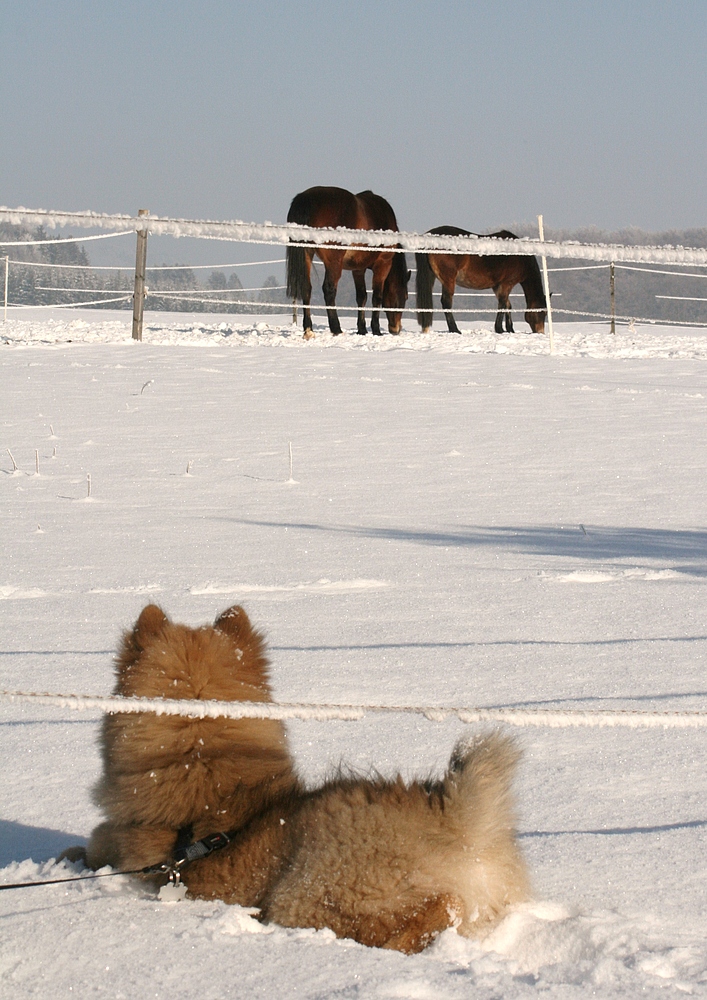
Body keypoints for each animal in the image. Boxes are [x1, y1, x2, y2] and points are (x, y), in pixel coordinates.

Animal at [77, 600, 532, 952]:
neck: (203, 759)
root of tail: (458, 823)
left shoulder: (132, 852)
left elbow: (97, 844)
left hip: (303, 895)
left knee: (430, 910)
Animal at [286, 188, 410, 340]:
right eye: (405, 296)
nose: (396, 329)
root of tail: (306, 199)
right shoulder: (383, 264)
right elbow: (377, 297)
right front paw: (376, 330)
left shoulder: (358, 269)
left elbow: (361, 297)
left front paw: (362, 329)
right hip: (334, 263)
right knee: (329, 290)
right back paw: (336, 328)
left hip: (306, 254)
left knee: (306, 288)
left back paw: (308, 330)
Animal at [418, 228, 552, 334]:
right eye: (543, 312)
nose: (540, 332)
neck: (519, 257)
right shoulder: (507, 284)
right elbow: (503, 304)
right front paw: (500, 329)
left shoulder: (497, 286)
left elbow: (507, 305)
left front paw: (509, 329)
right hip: (448, 280)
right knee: (446, 302)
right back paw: (454, 329)